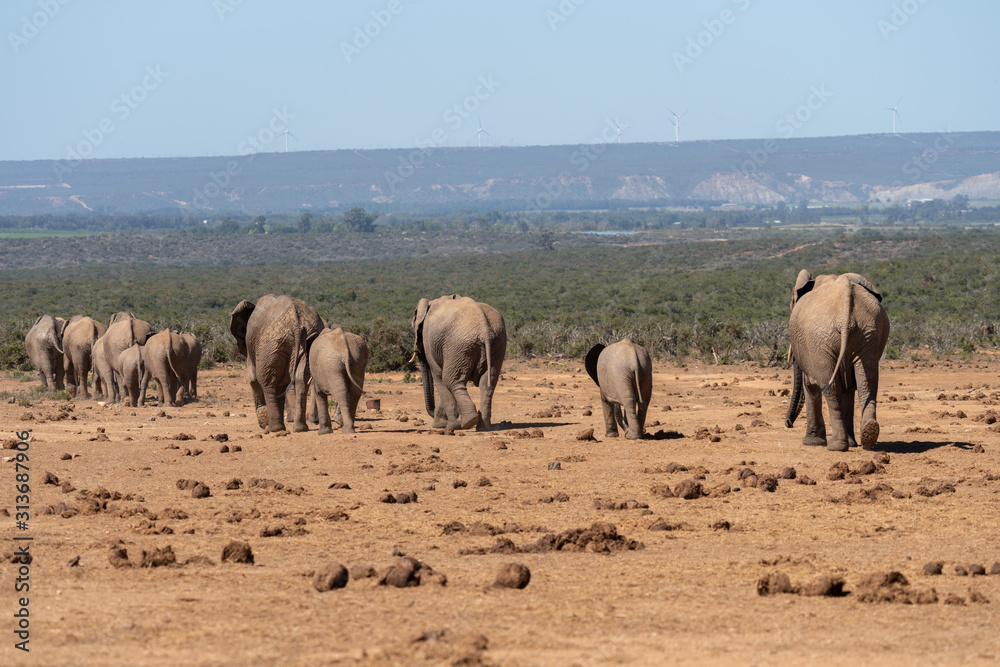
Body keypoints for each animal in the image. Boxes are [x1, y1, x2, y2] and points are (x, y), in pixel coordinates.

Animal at [230, 295, 324, 432]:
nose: (261, 425)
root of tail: (296, 323)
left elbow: (253, 379)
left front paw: (263, 424)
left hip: (270, 344)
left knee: (268, 382)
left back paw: (274, 429)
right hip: (306, 340)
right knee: (301, 380)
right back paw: (300, 428)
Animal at [412, 294, 506, 431]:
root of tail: (484, 329)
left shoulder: (429, 339)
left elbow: (438, 376)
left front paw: (446, 425)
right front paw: (441, 424)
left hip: (458, 344)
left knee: (450, 380)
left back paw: (466, 422)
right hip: (497, 342)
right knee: (487, 382)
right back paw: (483, 427)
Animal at [785, 270, 890, 452]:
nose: (788, 424)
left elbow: (810, 385)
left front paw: (812, 442)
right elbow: (849, 388)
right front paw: (852, 444)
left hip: (820, 339)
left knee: (831, 388)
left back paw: (836, 446)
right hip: (870, 331)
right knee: (866, 383)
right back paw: (868, 435)